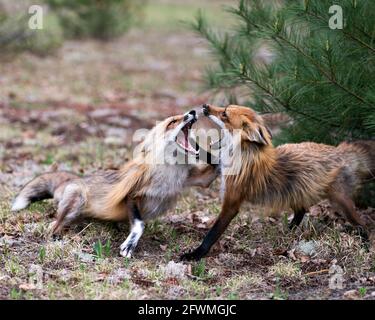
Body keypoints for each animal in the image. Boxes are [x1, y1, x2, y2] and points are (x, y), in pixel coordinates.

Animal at [11, 110, 220, 258]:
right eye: (172, 122)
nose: (192, 111)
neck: (170, 173)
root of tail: (73, 180)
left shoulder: (200, 179)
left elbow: (214, 166)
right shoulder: (133, 194)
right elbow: (139, 225)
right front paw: (130, 245)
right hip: (77, 200)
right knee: (54, 224)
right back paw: (57, 235)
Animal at [181, 104, 374, 260]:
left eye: (224, 114)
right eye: (224, 108)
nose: (205, 106)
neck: (243, 156)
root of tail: (339, 150)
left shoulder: (232, 202)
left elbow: (212, 234)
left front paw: (196, 254)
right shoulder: (219, 165)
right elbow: (205, 154)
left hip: (341, 203)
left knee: (362, 225)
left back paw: (364, 245)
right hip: (295, 192)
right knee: (301, 211)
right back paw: (288, 231)